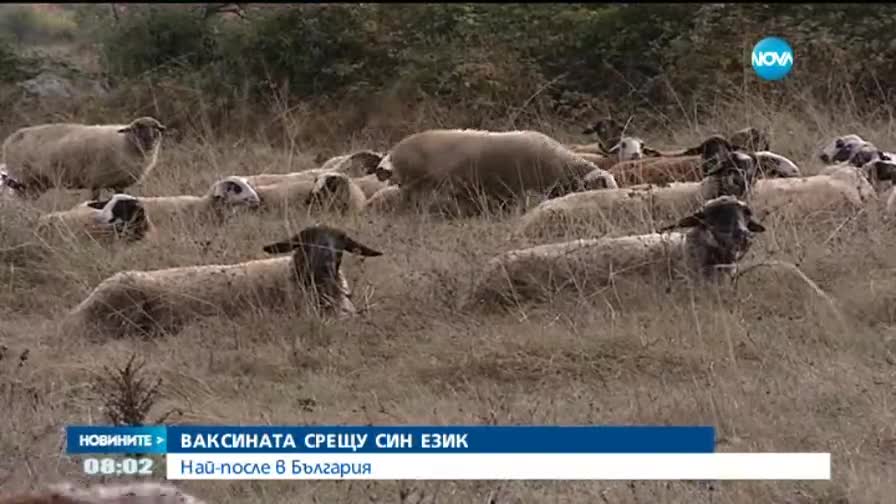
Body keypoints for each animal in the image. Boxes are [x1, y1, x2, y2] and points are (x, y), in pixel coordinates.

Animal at [2, 115, 166, 199]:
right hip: (25, 178)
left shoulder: (119, 184)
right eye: (136, 130)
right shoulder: (96, 180)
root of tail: (11, 139)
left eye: (156, 129)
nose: (149, 142)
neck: (125, 143)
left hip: (36, 184)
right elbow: (95, 199)